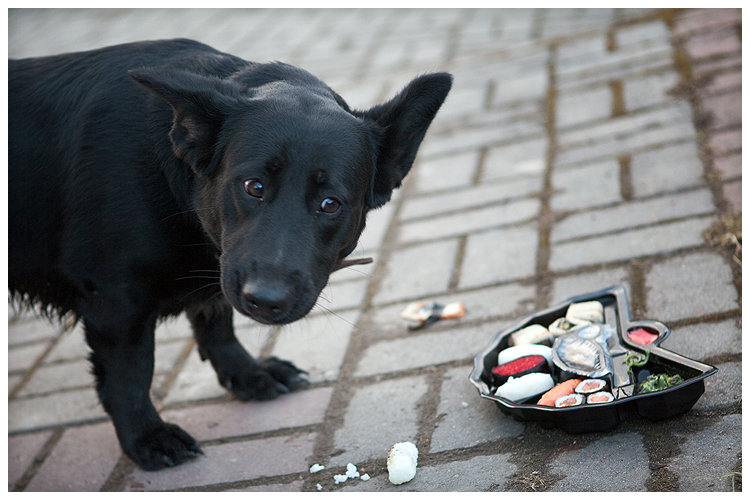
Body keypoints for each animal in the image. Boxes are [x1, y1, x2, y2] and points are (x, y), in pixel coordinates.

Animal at [8, 38, 452, 468]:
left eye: (330, 204)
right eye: (253, 186)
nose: (267, 301)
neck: (171, 178)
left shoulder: (222, 271)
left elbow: (217, 322)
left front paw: (247, 372)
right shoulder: (113, 302)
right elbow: (130, 373)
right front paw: (146, 436)